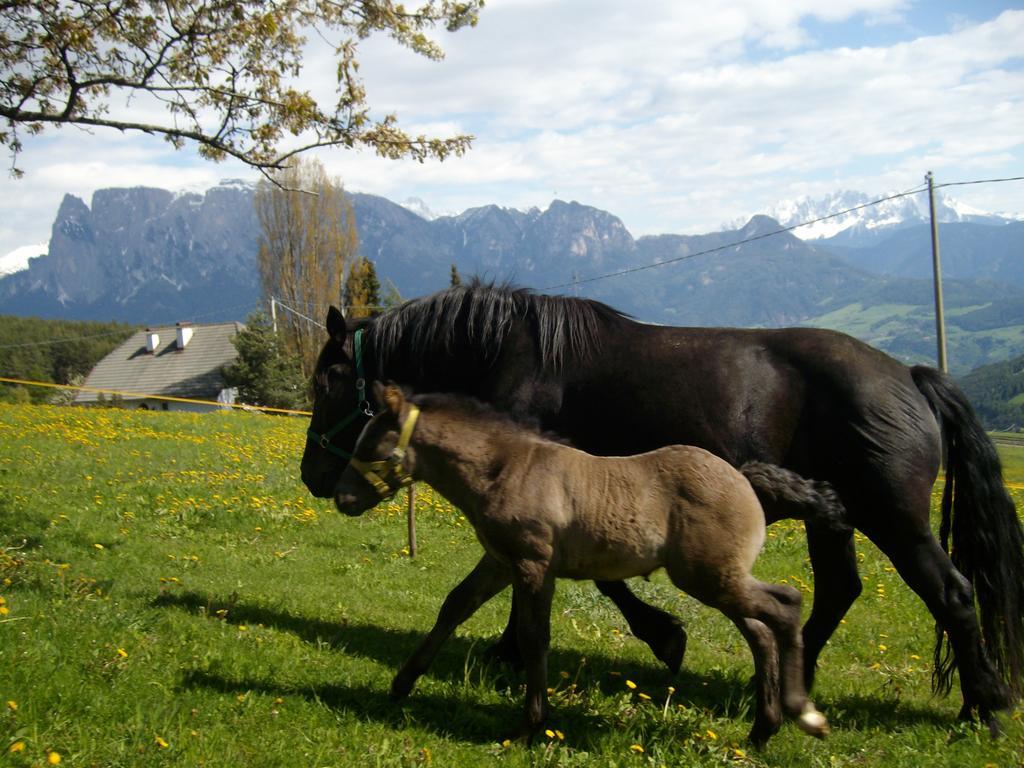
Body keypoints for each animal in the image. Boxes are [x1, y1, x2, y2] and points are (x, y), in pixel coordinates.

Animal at [301, 280, 1024, 729]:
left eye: (329, 380)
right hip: (837, 520)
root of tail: (911, 376)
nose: (314, 477)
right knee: (838, 591)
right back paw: (785, 682)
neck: (511, 354)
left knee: (951, 594)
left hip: (895, 520)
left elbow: (603, 582)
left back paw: (983, 707)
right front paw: (511, 647)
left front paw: (661, 635)